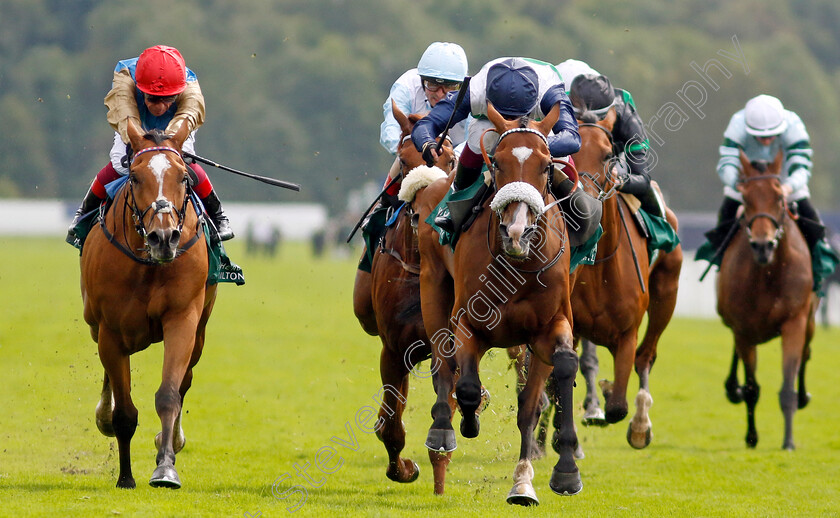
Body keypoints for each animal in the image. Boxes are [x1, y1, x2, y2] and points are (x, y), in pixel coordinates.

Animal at [80, 120, 215, 490]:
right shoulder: (111, 331)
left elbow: (170, 394)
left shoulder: (183, 318)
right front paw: (125, 476)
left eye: (184, 177)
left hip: (200, 332)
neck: (149, 264)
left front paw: (165, 467)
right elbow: (124, 413)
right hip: (95, 322)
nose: (164, 237)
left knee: (185, 380)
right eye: (136, 177)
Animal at [352, 101, 460, 496]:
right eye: (403, 157)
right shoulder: (394, 349)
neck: (417, 262)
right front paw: (404, 468)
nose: (423, 211)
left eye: (450, 160)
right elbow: (390, 424)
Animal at [410, 102, 580, 508]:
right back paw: (443, 430)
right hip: (433, 286)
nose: (516, 232)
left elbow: (552, 382)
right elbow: (468, 386)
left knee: (528, 404)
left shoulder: (550, 327)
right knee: (443, 362)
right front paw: (466, 421)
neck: (518, 265)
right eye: (498, 163)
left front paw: (560, 473)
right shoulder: (468, 322)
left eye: (547, 165)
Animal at [572, 110, 684, 450]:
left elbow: (618, 407)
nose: (582, 207)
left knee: (646, 355)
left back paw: (640, 424)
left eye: (607, 154)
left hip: (666, 295)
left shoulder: (626, 333)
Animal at [716, 150, 812, 450]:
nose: (762, 246)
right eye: (745, 199)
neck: (768, 274)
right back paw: (731, 387)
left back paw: (804, 395)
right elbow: (751, 388)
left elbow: (787, 386)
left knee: (807, 352)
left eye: (779, 198)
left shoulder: (795, 321)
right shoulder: (743, 328)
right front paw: (751, 436)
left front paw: (789, 441)